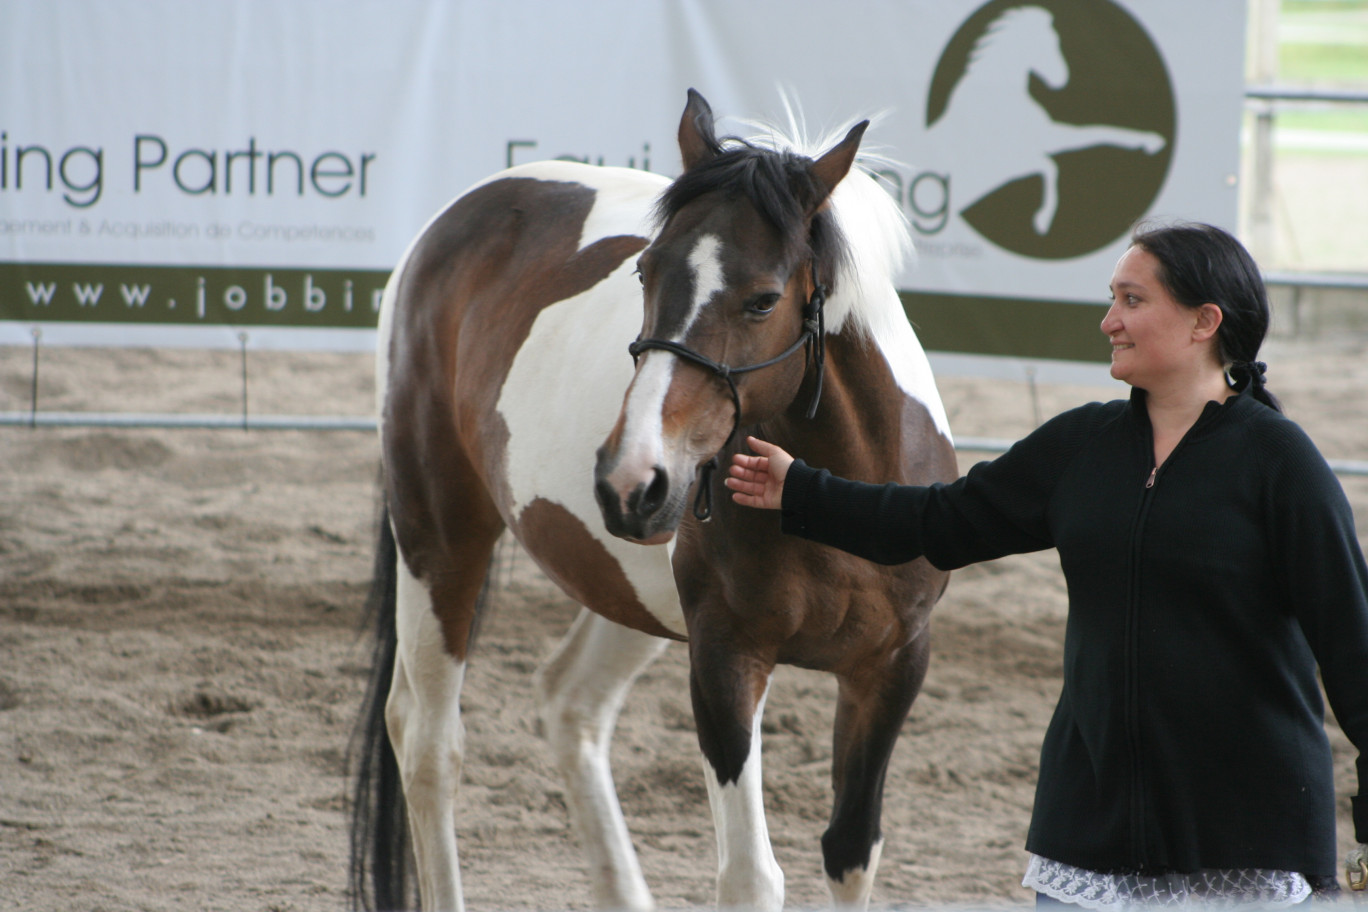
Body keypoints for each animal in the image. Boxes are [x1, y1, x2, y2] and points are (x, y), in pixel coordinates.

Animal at [347, 90, 957, 912]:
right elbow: (751, 875)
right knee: (428, 742)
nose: (632, 478)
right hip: (438, 536)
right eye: (643, 270)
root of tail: (453, 222)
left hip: (624, 587)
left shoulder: (890, 669)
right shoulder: (725, 659)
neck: (831, 498)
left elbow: (851, 853)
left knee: (569, 704)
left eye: (763, 300)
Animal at [924, 6, 1160, 235]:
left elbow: (1098, 132)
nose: (1062, 79)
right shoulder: (1013, 159)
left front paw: (1150, 141)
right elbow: (1052, 166)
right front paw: (1043, 219)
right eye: (1053, 41)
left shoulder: (1042, 139)